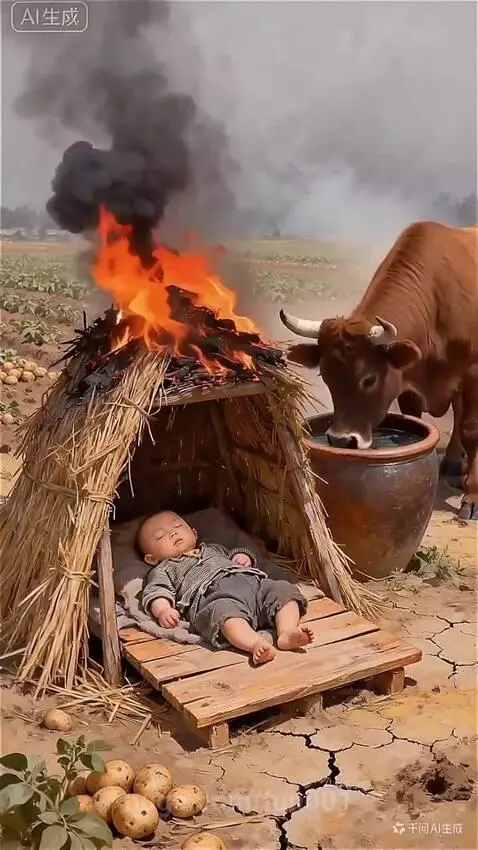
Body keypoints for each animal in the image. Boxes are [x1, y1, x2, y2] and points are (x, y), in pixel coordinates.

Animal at [279, 220, 478, 521]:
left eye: (369, 379)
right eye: (326, 377)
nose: (341, 440)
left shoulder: (473, 371)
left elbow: (471, 428)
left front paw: (472, 496)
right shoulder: (409, 381)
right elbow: (415, 418)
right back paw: (454, 461)